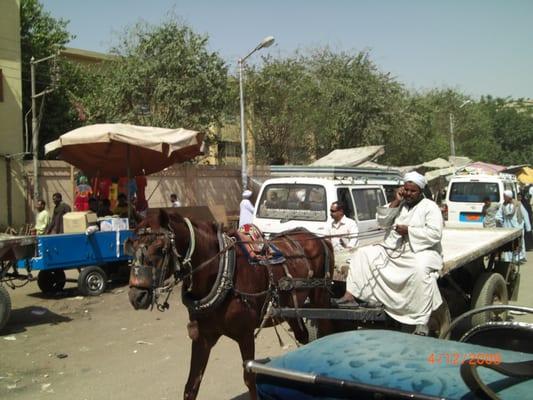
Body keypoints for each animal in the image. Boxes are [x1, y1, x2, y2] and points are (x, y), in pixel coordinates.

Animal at [126, 209, 332, 400]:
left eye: (161, 249)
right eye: (132, 246)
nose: (136, 296)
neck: (221, 270)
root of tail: (316, 237)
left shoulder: (246, 335)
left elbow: (250, 380)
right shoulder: (202, 338)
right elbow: (191, 386)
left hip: (320, 298)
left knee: (326, 332)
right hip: (290, 309)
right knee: (303, 336)